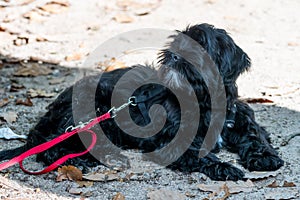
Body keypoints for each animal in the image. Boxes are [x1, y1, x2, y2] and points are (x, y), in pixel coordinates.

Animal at [0, 23, 284, 180]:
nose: (174, 55)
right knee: (51, 148)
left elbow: (256, 136)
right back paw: (85, 160)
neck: (205, 102)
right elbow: (199, 155)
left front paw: (265, 158)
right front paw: (226, 168)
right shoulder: (171, 142)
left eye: (200, 45)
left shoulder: (242, 120)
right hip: (91, 111)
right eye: (176, 43)